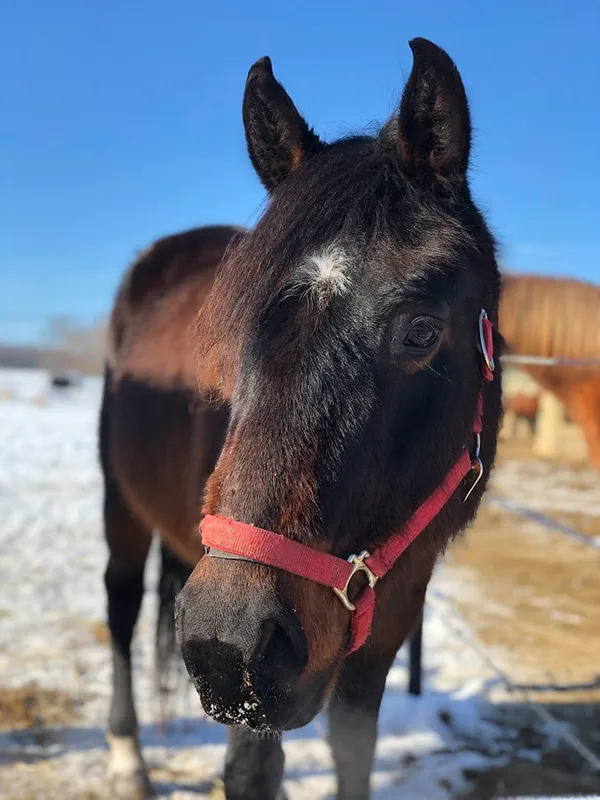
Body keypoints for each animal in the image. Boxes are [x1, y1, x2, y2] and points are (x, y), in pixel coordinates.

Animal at [100, 38, 503, 799]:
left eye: (422, 331)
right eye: (231, 336)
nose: (226, 644)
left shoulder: (383, 635)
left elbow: (353, 750)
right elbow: (251, 770)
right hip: (121, 503)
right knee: (119, 605)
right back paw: (127, 758)